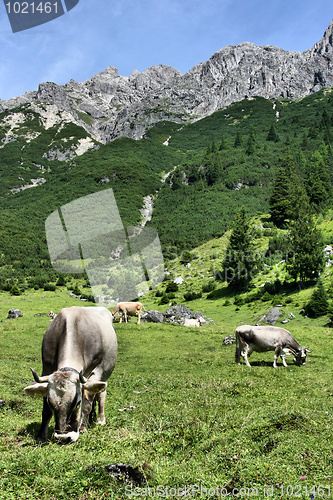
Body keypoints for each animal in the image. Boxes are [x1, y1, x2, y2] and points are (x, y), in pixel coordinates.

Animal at [23, 304, 116, 442]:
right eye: (51, 403)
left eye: (77, 402)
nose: (64, 437)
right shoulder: (46, 369)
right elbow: (46, 411)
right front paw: (41, 435)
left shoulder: (96, 372)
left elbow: (87, 402)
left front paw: (83, 427)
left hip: (105, 374)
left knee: (101, 394)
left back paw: (100, 419)